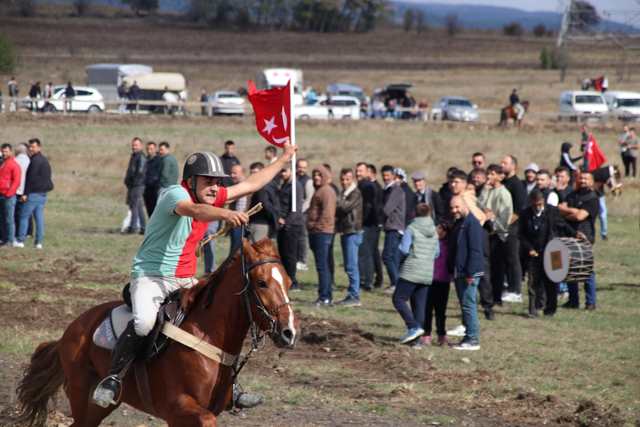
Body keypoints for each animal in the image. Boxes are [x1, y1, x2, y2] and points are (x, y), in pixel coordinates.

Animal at [14, 241, 300, 427]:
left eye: (288, 282)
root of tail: (71, 329)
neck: (206, 336)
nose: (289, 333)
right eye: (262, 283)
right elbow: (205, 419)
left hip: (101, 405)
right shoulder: (179, 409)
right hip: (81, 390)